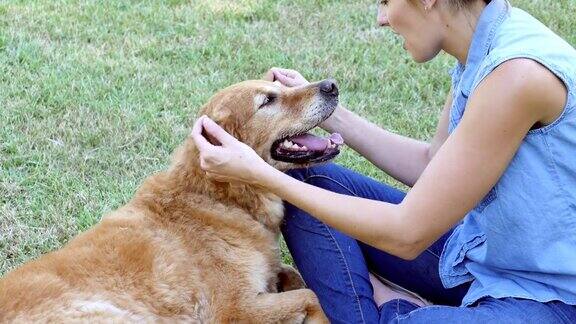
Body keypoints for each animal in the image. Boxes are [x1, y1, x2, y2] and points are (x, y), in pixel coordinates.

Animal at [0, 78, 344, 322]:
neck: (218, 196)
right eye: (268, 100)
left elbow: (294, 276)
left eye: (282, 86)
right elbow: (312, 296)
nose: (331, 85)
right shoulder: (235, 310)